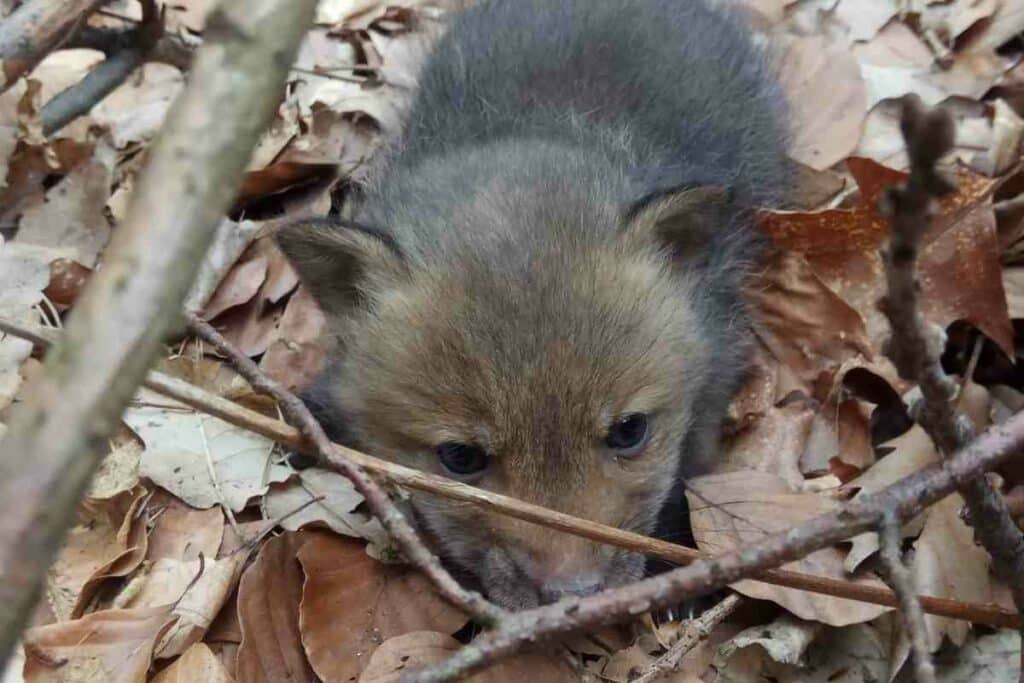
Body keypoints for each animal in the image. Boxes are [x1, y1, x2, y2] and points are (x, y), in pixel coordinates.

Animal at [278, 0, 790, 610]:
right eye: (461, 458)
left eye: (629, 431)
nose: (575, 591)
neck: (544, 121)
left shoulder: (717, 358)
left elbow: (691, 470)